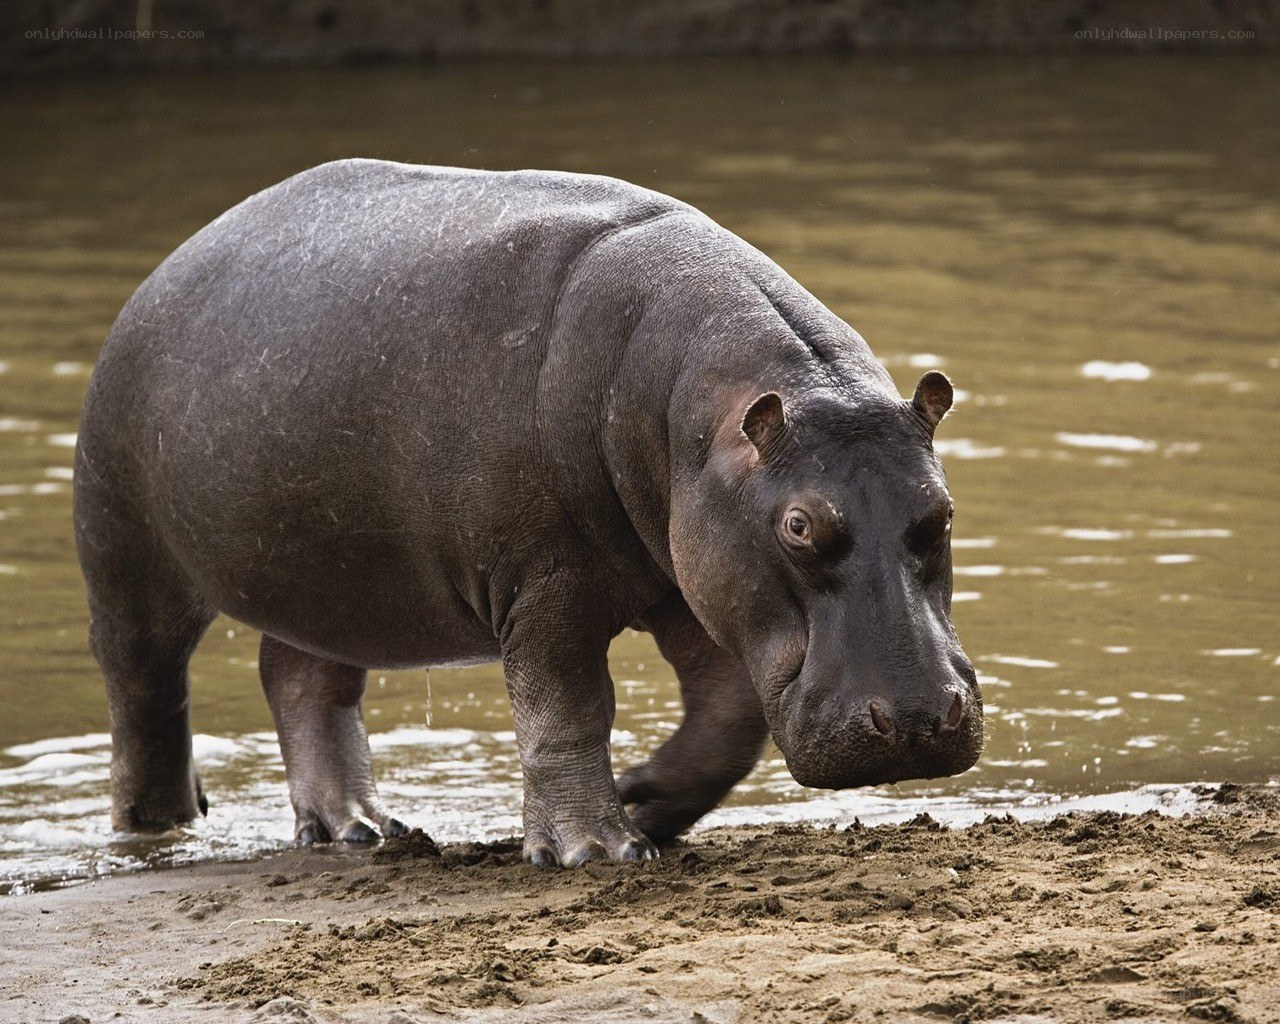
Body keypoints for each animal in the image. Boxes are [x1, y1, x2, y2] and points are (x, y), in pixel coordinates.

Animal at [74, 159, 983, 868]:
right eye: (799, 526)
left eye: (941, 511)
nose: (915, 720)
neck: (699, 414)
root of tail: (164, 270)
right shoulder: (547, 583)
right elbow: (568, 709)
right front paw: (596, 850)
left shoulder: (692, 579)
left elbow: (728, 718)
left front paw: (643, 800)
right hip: (127, 555)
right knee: (144, 696)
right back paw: (157, 830)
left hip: (327, 577)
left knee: (301, 679)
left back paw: (358, 829)